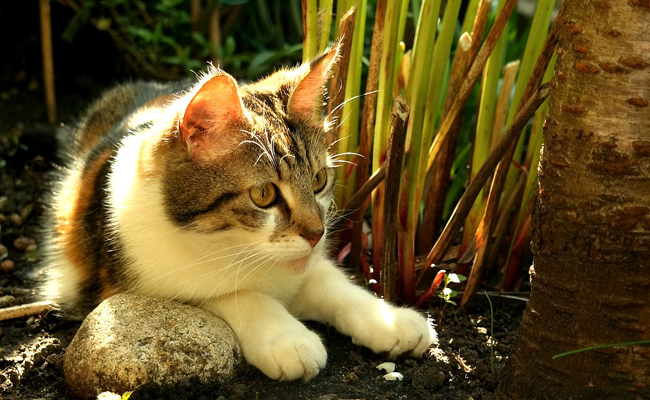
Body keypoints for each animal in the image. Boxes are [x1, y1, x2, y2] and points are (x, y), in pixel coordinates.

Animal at [43, 43, 432, 382]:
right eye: (263, 194)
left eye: (319, 180)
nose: (316, 233)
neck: (226, 246)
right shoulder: (127, 284)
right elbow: (231, 294)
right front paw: (287, 337)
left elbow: (328, 280)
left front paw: (389, 318)